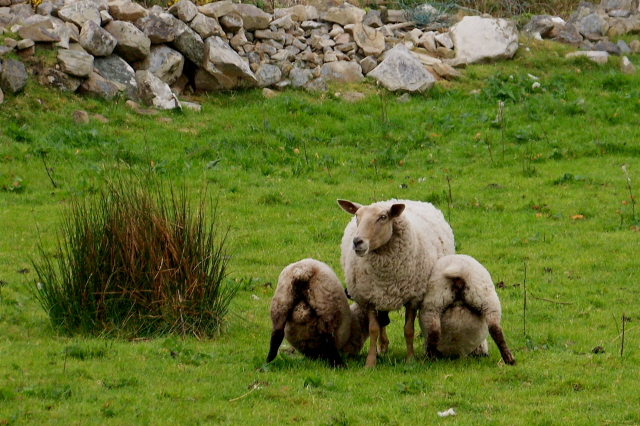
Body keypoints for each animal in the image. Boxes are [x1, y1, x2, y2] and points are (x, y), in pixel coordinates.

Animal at [336, 200, 456, 366]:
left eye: (383, 217)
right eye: (357, 216)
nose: (357, 242)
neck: (386, 276)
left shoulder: (413, 298)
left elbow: (409, 330)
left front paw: (410, 360)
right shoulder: (369, 298)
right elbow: (373, 329)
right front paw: (370, 362)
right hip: (379, 296)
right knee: (382, 321)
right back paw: (382, 346)